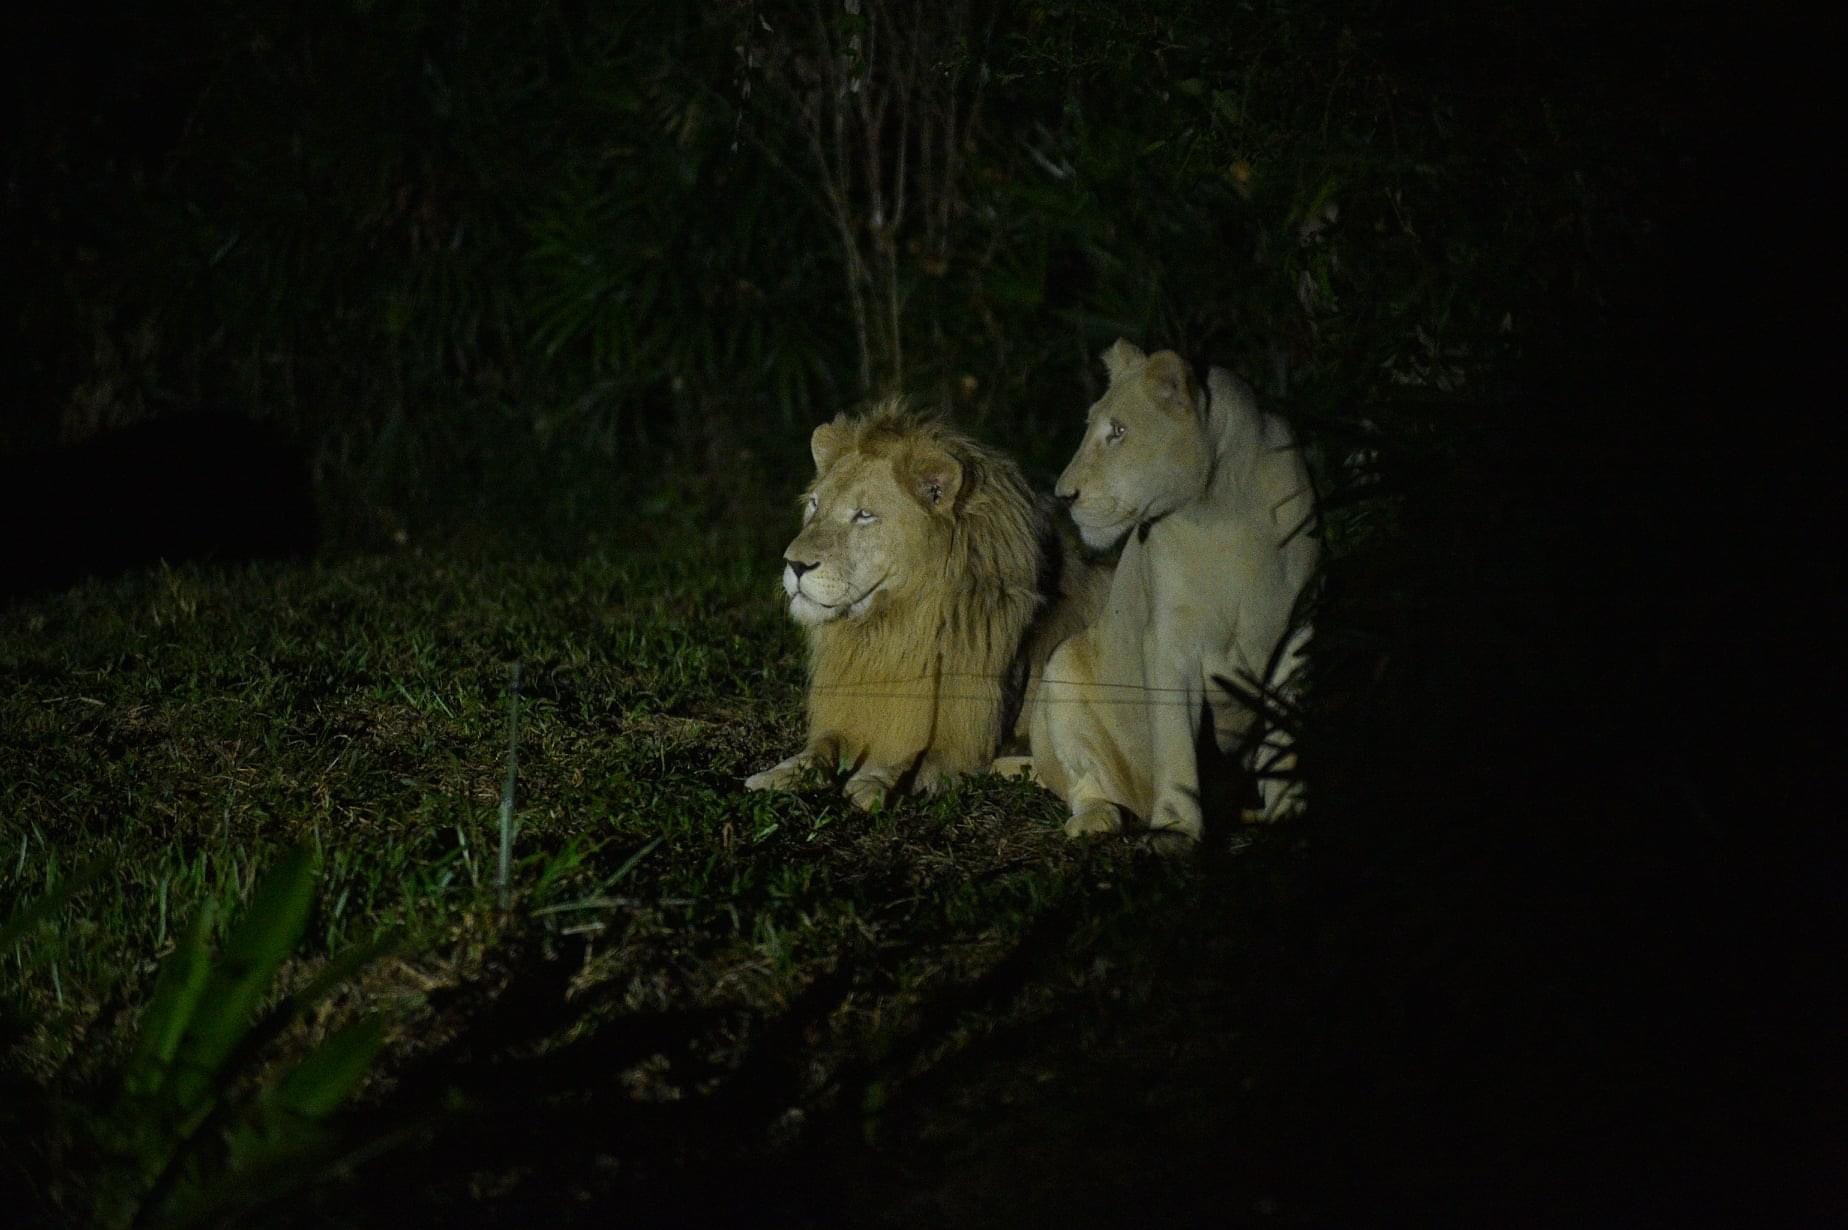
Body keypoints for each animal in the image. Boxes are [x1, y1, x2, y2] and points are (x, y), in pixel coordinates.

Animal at [742, 397, 1101, 808]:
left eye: (864, 515)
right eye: (815, 505)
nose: (794, 564)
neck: (891, 630)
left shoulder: (967, 744)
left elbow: (909, 759)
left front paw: (874, 781)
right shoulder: (848, 715)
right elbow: (818, 749)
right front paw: (779, 773)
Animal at [1034, 341, 1323, 842]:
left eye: (1118, 432)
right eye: (1093, 427)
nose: (1063, 494)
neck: (1226, 509)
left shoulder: (1296, 635)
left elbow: (1283, 739)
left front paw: (1289, 813)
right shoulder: (1169, 641)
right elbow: (1174, 744)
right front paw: (1175, 830)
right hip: (1061, 671)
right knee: (1084, 781)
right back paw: (1098, 818)